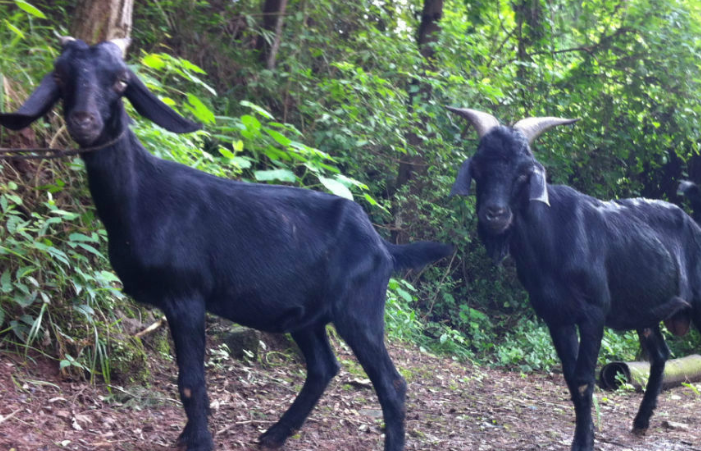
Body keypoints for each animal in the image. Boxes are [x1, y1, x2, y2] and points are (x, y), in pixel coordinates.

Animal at [0, 38, 454, 451]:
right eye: (62, 77)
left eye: (120, 81)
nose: (84, 121)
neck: (143, 196)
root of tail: (382, 246)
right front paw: (188, 436)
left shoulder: (186, 295)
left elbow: (191, 381)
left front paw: (199, 442)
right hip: (307, 316)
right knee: (323, 367)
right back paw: (273, 435)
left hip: (358, 308)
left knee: (392, 384)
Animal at [446, 108, 696, 451]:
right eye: (479, 168)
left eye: (524, 173)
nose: (494, 214)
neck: (553, 238)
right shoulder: (556, 317)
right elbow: (569, 377)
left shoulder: (593, 314)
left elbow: (582, 379)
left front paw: (584, 442)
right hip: (646, 313)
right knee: (660, 354)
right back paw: (641, 423)